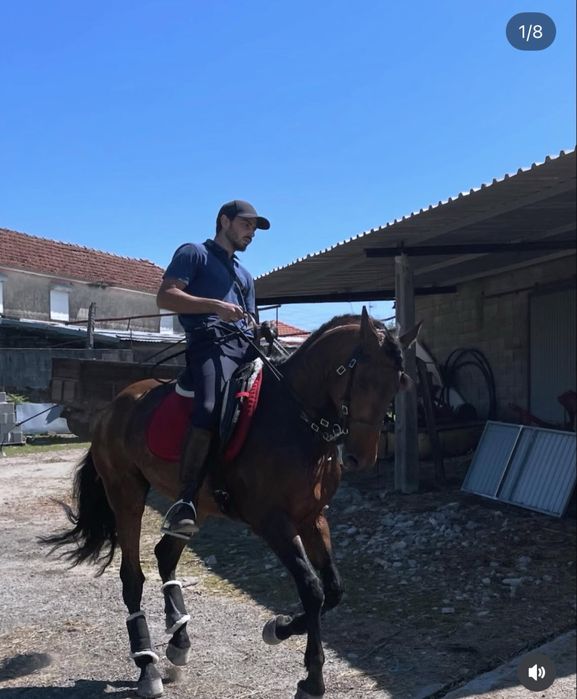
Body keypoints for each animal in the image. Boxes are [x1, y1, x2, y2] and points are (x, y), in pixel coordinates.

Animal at [43, 308, 419, 699]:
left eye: (397, 384)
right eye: (364, 380)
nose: (362, 457)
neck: (294, 421)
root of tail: (113, 407)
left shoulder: (312, 518)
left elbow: (333, 591)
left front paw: (280, 628)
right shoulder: (273, 522)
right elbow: (312, 590)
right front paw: (312, 677)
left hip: (195, 506)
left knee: (166, 555)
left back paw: (179, 641)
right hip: (126, 496)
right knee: (132, 577)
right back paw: (147, 666)